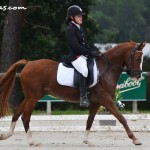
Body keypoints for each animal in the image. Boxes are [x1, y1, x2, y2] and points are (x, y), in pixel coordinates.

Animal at [0, 41, 145, 146]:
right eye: (138, 58)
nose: (138, 76)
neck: (105, 70)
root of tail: (28, 63)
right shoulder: (106, 100)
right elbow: (122, 118)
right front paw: (135, 139)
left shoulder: (96, 102)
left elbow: (89, 121)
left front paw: (87, 141)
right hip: (33, 98)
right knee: (25, 117)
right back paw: (31, 142)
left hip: (32, 96)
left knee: (17, 111)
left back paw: (6, 135)